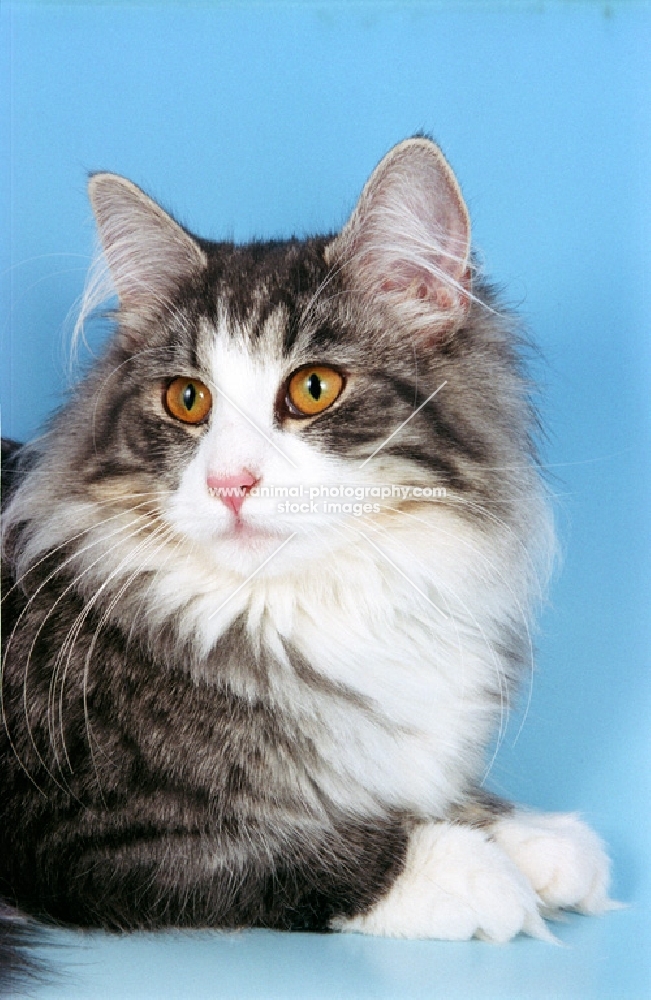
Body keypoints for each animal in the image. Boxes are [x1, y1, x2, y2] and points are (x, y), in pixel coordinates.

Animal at [0, 135, 612, 984]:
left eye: (314, 388)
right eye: (187, 399)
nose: (229, 482)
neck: (310, 602)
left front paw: (531, 835)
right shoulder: (75, 829)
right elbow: (280, 850)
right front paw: (466, 869)